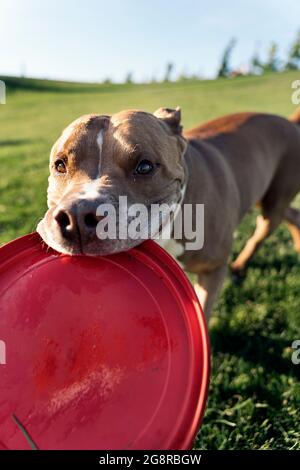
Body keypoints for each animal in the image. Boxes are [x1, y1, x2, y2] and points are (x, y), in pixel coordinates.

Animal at [37, 106, 300, 320]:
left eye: (144, 166)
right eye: (60, 165)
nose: (78, 217)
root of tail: (288, 122)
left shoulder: (213, 270)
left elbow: (203, 312)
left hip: (273, 202)